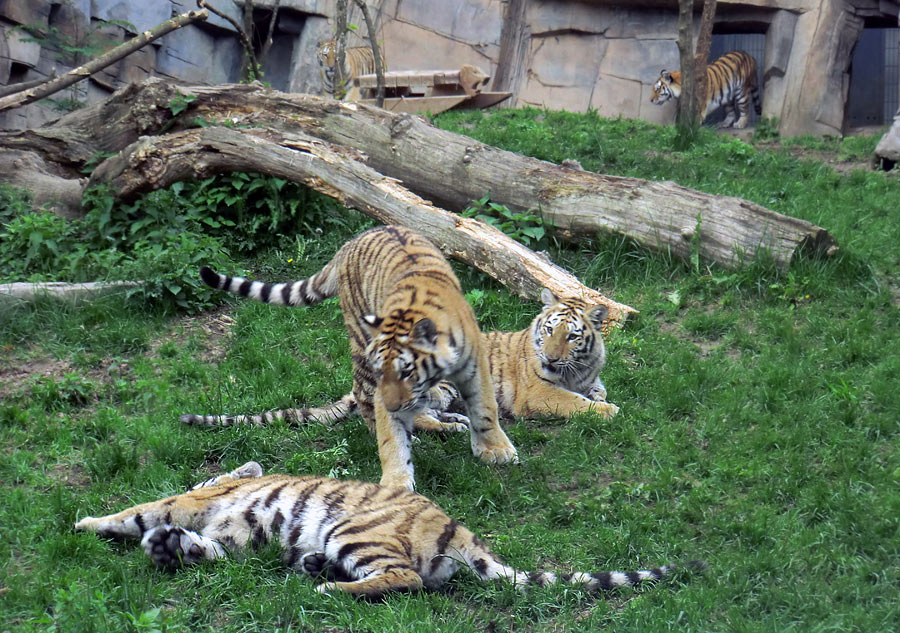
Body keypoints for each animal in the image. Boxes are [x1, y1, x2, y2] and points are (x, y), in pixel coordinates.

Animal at [193, 225, 516, 492]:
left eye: (407, 372)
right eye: (385, 372)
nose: (392, 405)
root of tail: (350, 243)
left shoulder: (474, 367)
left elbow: (485, 409)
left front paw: (495, 449)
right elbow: (391, 438)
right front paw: (396, 481)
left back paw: (452, 422)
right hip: (360, 346)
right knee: (365, 399)